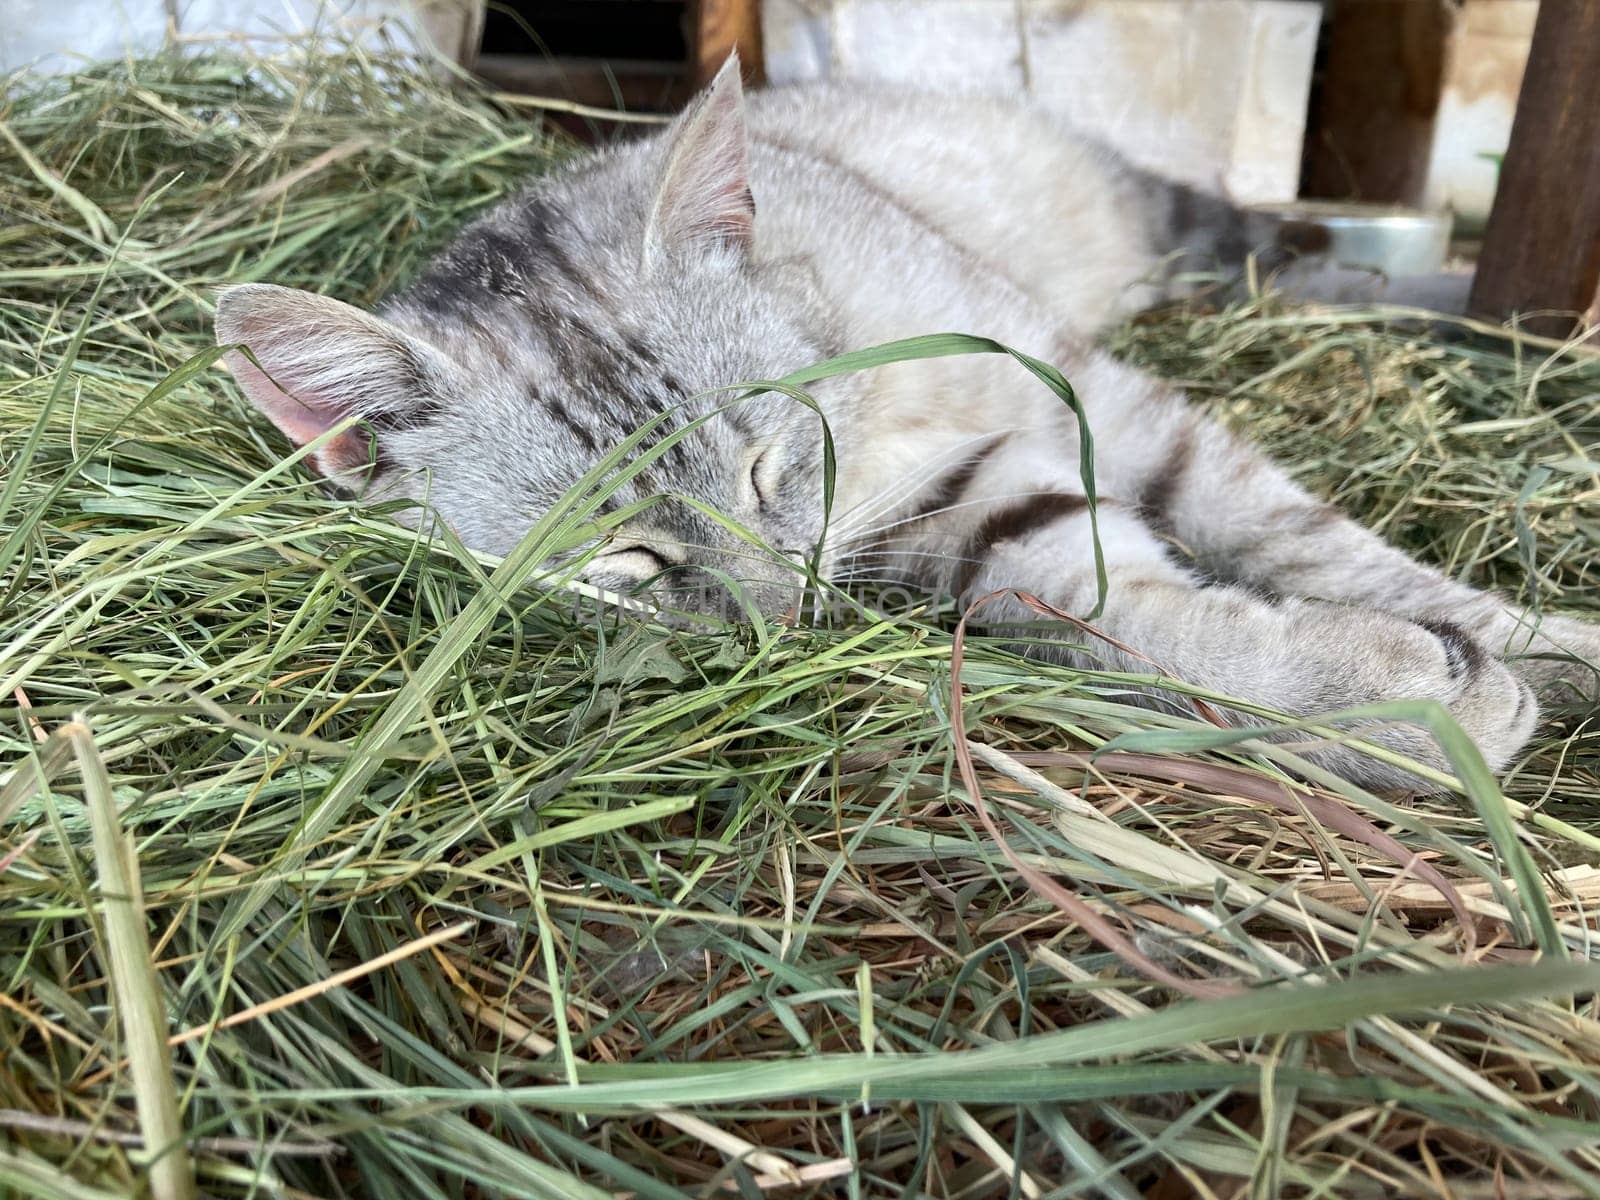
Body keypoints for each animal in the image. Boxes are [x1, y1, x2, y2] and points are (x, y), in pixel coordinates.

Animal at [216, 58, 1600, 790]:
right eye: (624, 562)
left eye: (769, 464)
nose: (777, 622)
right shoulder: (980, 525)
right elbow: (1150, 623)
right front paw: (1391, 703)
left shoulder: (1099, 399)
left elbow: (1300, 535)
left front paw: (1540, 645)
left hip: (1155, 222)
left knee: (1283, 251)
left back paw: (1470, 310)